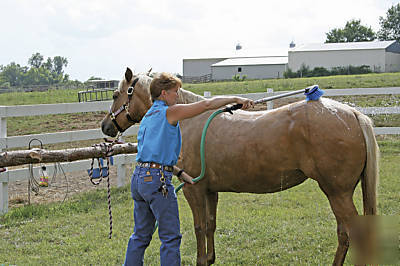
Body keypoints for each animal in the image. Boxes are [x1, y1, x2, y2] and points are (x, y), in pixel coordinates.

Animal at [100, 68, 378, 264]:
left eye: (115, 94)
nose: (105, 126)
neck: (190, 120)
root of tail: (354, 114)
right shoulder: (210, 191)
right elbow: (210, 224)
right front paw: (210, 259)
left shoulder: (194, 190)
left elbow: (199, 227)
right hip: (337, 194)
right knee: (344, 234)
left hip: (337, 193)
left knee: (357, 235)